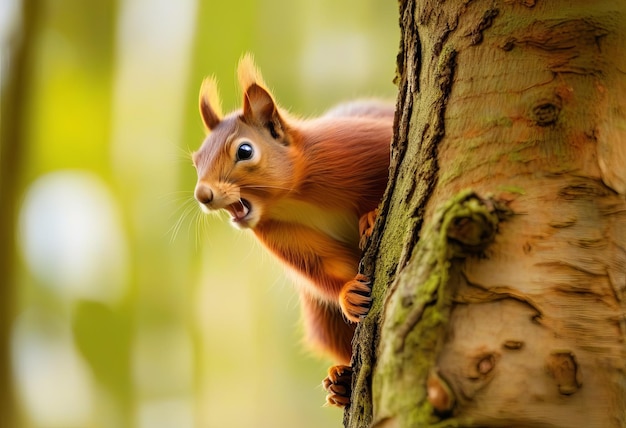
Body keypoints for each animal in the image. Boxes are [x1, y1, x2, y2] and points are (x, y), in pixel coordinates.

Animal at [190, 53, 390, 408]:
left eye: (245, 151)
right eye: (196, 160)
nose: (203, 194)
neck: (287, 199)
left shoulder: (353, 149)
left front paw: (370, 215)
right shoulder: (277, 232)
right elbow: (321, 264)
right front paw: (348, 293)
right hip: (321, 318)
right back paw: (341, 383)